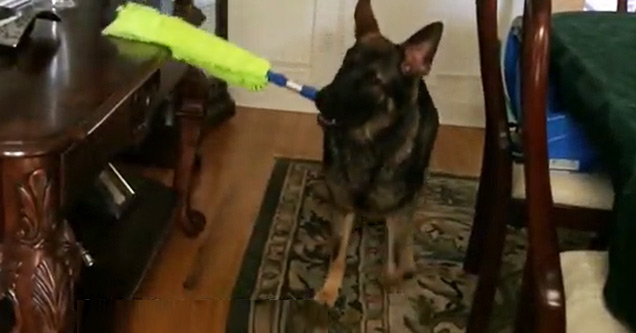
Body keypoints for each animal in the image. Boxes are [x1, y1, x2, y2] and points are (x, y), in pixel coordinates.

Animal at [312, 0, 442, 306]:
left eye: (373, 80)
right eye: (346, 63)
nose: (320, 99)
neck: (367, 143)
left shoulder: (398, 209)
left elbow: (393, 256)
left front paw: (389, 282)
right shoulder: (343, 206)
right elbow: (338, 254)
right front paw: (329, 290)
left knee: (406, 230)